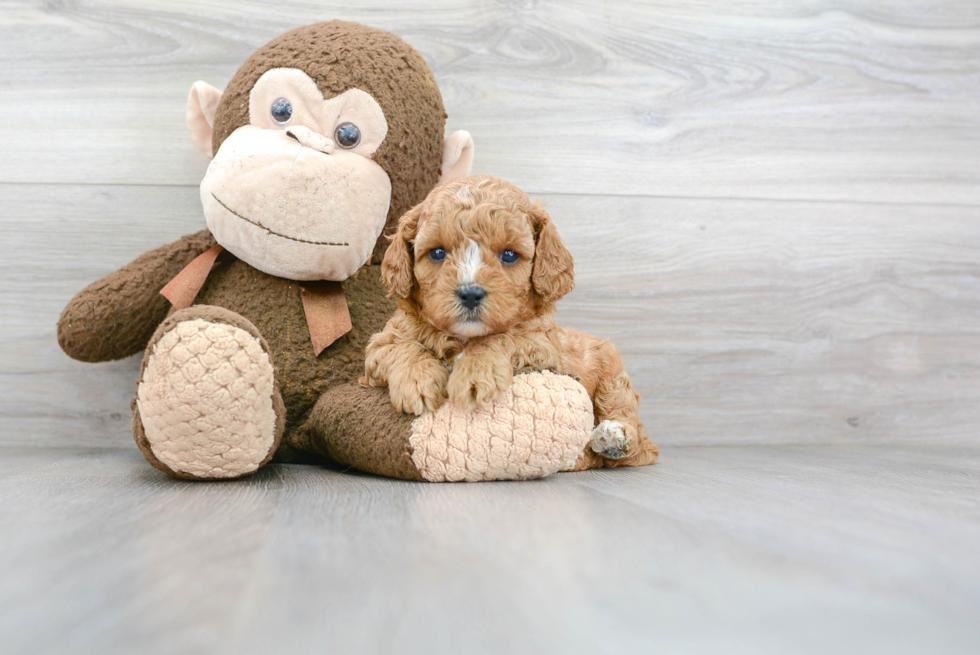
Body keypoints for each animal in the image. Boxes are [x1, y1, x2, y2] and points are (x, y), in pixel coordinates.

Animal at [362, 174, 660, 466]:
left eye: (509, 255)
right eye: (437, 253)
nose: (470, 294)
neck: (464, 338)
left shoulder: (541, 346)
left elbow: (502, 337)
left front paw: (475, 374)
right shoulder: (379, 346)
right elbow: (402, 348)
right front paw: (417, 382)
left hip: (613, 373)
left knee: (630, 428)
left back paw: (612, 437)